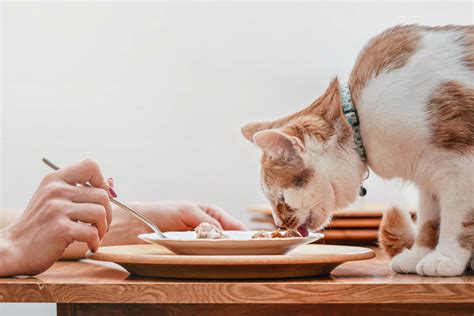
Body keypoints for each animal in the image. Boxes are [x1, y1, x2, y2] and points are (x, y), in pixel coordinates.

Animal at [243, 25, 474, 276]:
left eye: (281, 199)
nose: (278, 224)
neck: (360, 121)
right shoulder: (429, 179)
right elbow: (429, 221)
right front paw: (419, 254)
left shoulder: (460, 167)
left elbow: (457, 218)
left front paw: (446, 256)